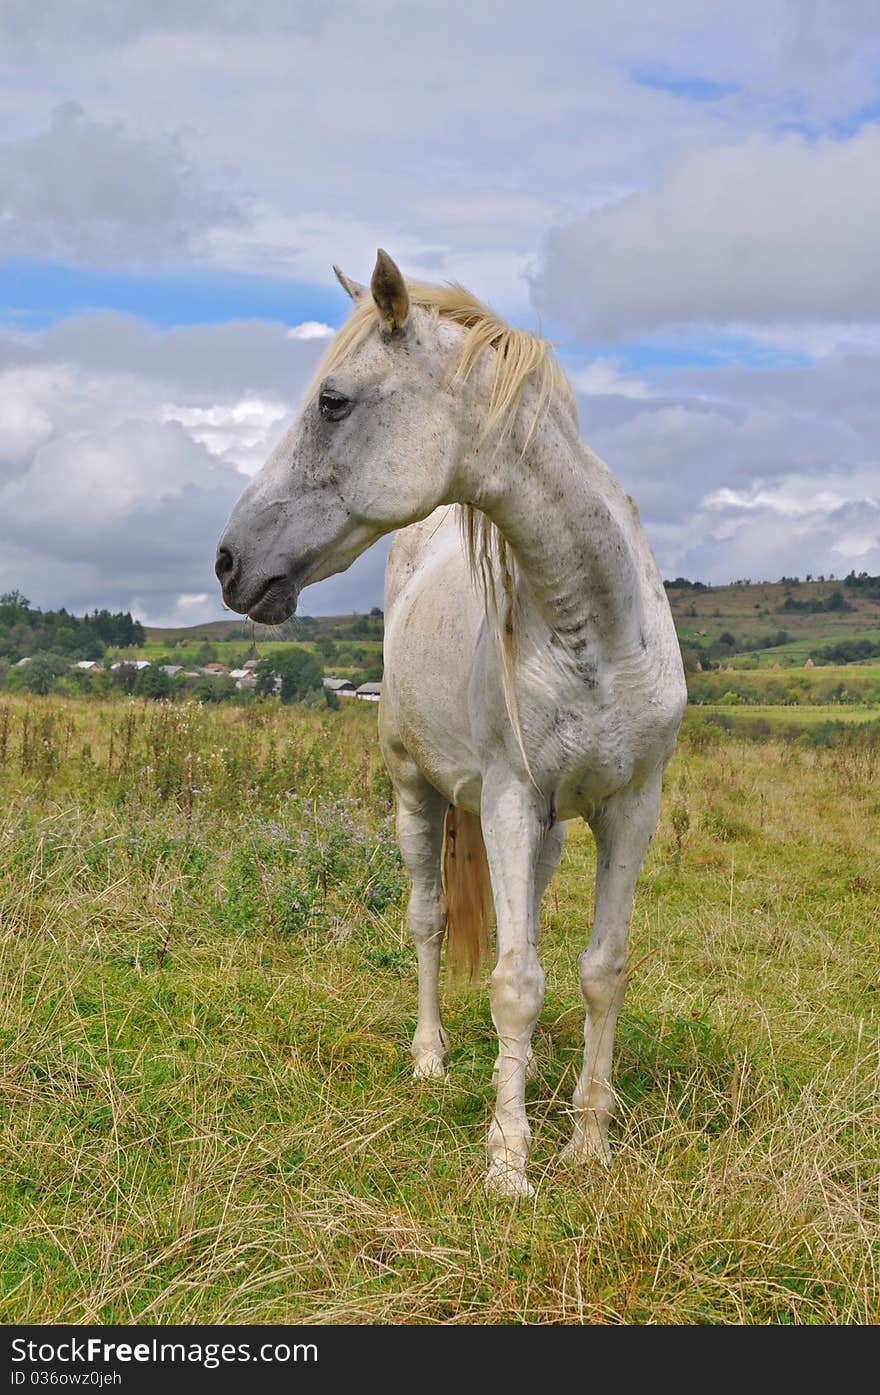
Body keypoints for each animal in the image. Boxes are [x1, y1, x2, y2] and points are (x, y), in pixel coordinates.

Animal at [214, 253, 688, 1199]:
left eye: (333, 402)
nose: (227, 562)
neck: (598, 630)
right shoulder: (507, 798)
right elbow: (514, 982)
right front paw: (508, 1159)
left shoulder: (631, 806)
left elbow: (598, 969)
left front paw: (588, 1140)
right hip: (416, 793)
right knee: (428, 919)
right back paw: (430, 1055)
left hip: (547, 827)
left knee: (524, 918)